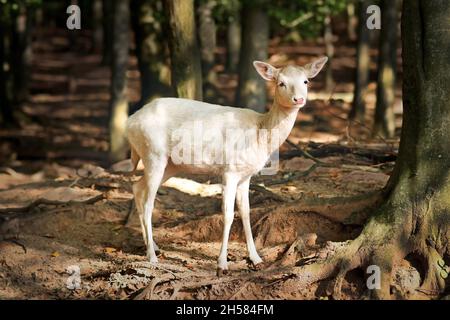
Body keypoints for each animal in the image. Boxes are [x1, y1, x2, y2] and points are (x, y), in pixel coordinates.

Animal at [126, 57, 326, 276]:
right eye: (281, 82)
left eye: (306, 81)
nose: (299, 99)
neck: (260, 132)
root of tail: (130, 121)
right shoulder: (229, 170)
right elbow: (228, 214)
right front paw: (222, 264)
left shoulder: (246, 175)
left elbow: (246, 213)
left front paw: (256, 259)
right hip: (154, 153)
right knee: (148, 202)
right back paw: (152, 257)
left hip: (170, 164)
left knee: (137, 187)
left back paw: (153, 246)